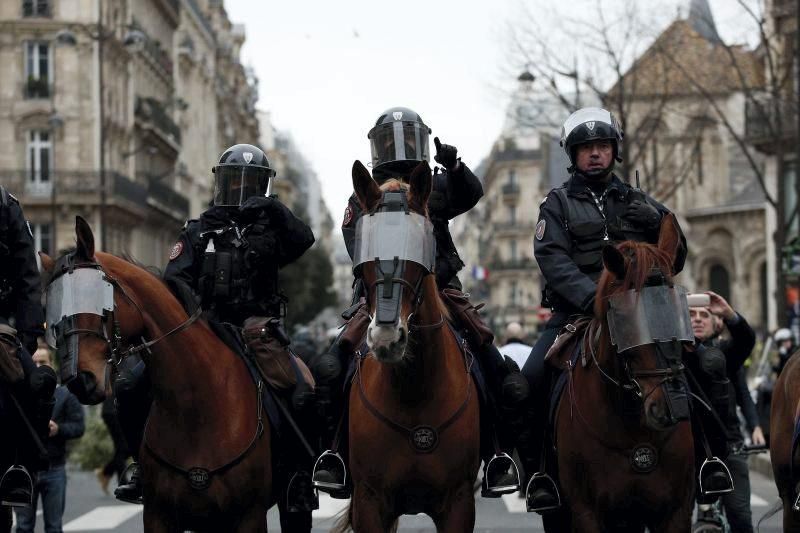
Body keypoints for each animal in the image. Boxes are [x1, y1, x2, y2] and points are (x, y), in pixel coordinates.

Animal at [43, 217, 276, 532]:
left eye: (93, 295)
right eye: (52, 309)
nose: (79, 380)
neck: (197, 405)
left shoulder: (249, 516)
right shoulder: (158, 516)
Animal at [332, 162, 482, 532]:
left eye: (419, 241)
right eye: (365, 243)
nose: (387, 337)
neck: (414, 389)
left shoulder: (459, 502)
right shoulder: (370, 502)